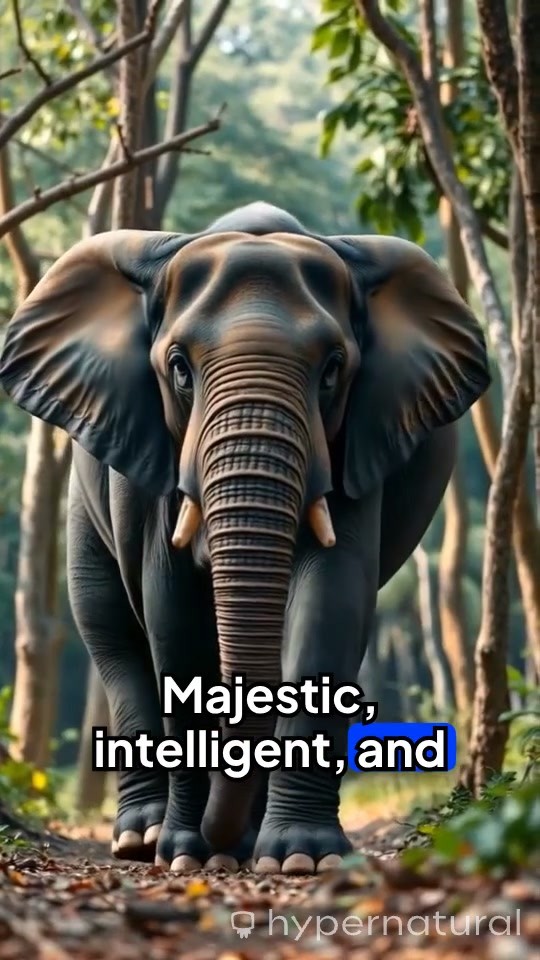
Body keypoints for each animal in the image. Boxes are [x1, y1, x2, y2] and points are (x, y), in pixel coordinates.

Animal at [0, 201, 491, 875]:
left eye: (333, 370)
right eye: (179, 368)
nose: (212, 843)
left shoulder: (358, 440)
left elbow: (330, 602)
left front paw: (300, 858)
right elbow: (173, 616)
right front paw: (187, 856)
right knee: (111, 634)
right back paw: (143, 840)